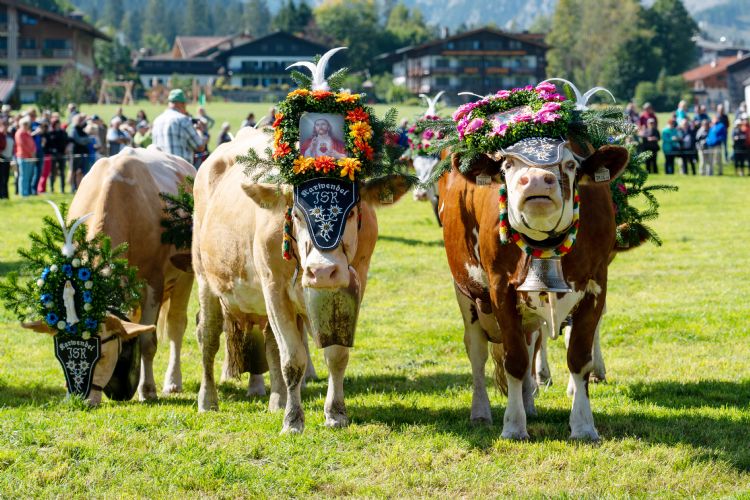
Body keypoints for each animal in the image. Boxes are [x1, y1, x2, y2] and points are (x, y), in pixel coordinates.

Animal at [68, 146, 197, 400]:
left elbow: (148, 339)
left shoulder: (153, 282)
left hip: (185, 275)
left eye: (103, 355)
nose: (82, 401)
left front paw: (147, 389)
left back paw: (172, 381)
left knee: (176, 324)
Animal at [191, 127, 408, 432]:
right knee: (208, 336)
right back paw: (207, 400)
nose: (322, 271)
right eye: (296, 213)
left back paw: (277, 398)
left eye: (352, 211)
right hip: (206, 278)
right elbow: (293, 359)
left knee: (270, 345)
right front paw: (293, 420)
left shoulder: (353, 286)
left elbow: (336, 355)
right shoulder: (274, 290)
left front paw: (335, 413)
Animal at [440, 139, 628, 440]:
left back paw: (528, 403)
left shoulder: (596, 285)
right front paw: (514, 426)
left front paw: (583, 425)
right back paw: (480, 412)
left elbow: (578, 358)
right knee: (477, 352)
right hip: (467, 294)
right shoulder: (500, 289)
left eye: (570, 164)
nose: (538, 180)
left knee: (529, 346)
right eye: (507, 164)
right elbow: (514, 360)